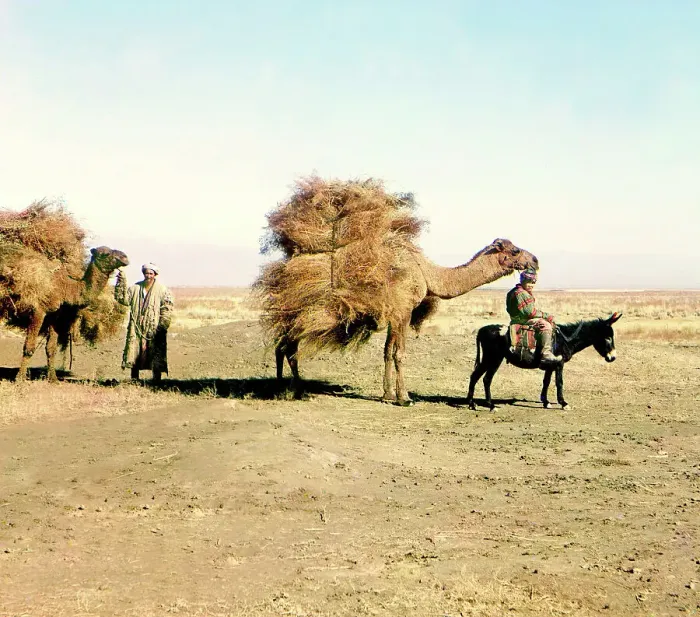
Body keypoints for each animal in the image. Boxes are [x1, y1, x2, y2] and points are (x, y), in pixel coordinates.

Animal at [9, 246, 129, 382]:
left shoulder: (54, 315)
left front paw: (53, 379)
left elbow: (51, 348)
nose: (125, 258)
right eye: (105, 254)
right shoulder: (38, 310)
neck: (65, 287)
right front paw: (20, 379)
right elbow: (29, 347)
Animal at [276, 238, 539, 405]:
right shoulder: (403, 310)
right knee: (287, 347)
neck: (426, 273)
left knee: (285, 348)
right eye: (515, 251)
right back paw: (291, 389)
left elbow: (387, 351)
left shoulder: (395, 314)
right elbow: (399, 353)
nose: (535, 260)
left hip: (293, 315)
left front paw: (387, 395)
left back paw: (290, 388)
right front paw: (404, 398)